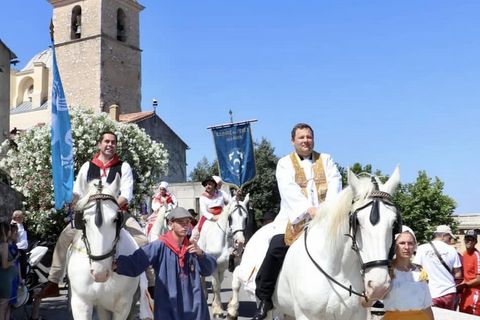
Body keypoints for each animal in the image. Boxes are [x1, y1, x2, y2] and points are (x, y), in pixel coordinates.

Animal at [229, 168, 402, 320]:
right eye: (357, 221)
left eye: (394, 223)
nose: (379, 286)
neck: (337, 270)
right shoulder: (306, 315)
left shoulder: (355, 315)